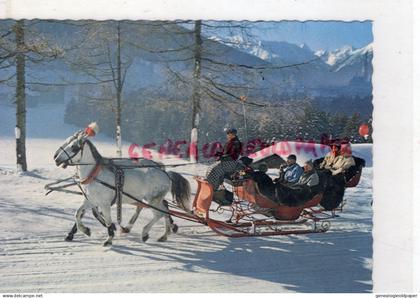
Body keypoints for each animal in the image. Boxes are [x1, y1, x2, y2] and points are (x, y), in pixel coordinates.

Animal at [53, 128, 192, 247]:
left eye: (73, 147)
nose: (56, 158)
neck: (95, 175)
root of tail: (165, 173)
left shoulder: (104, 204)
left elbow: (107, 221)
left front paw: (109, 238)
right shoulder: (90, 200)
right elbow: (77, 213)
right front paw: (85, 230)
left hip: (153, 199)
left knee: (159, 214)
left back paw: (145, 232)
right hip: (153, 199)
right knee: (164, 210)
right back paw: (164, 234)